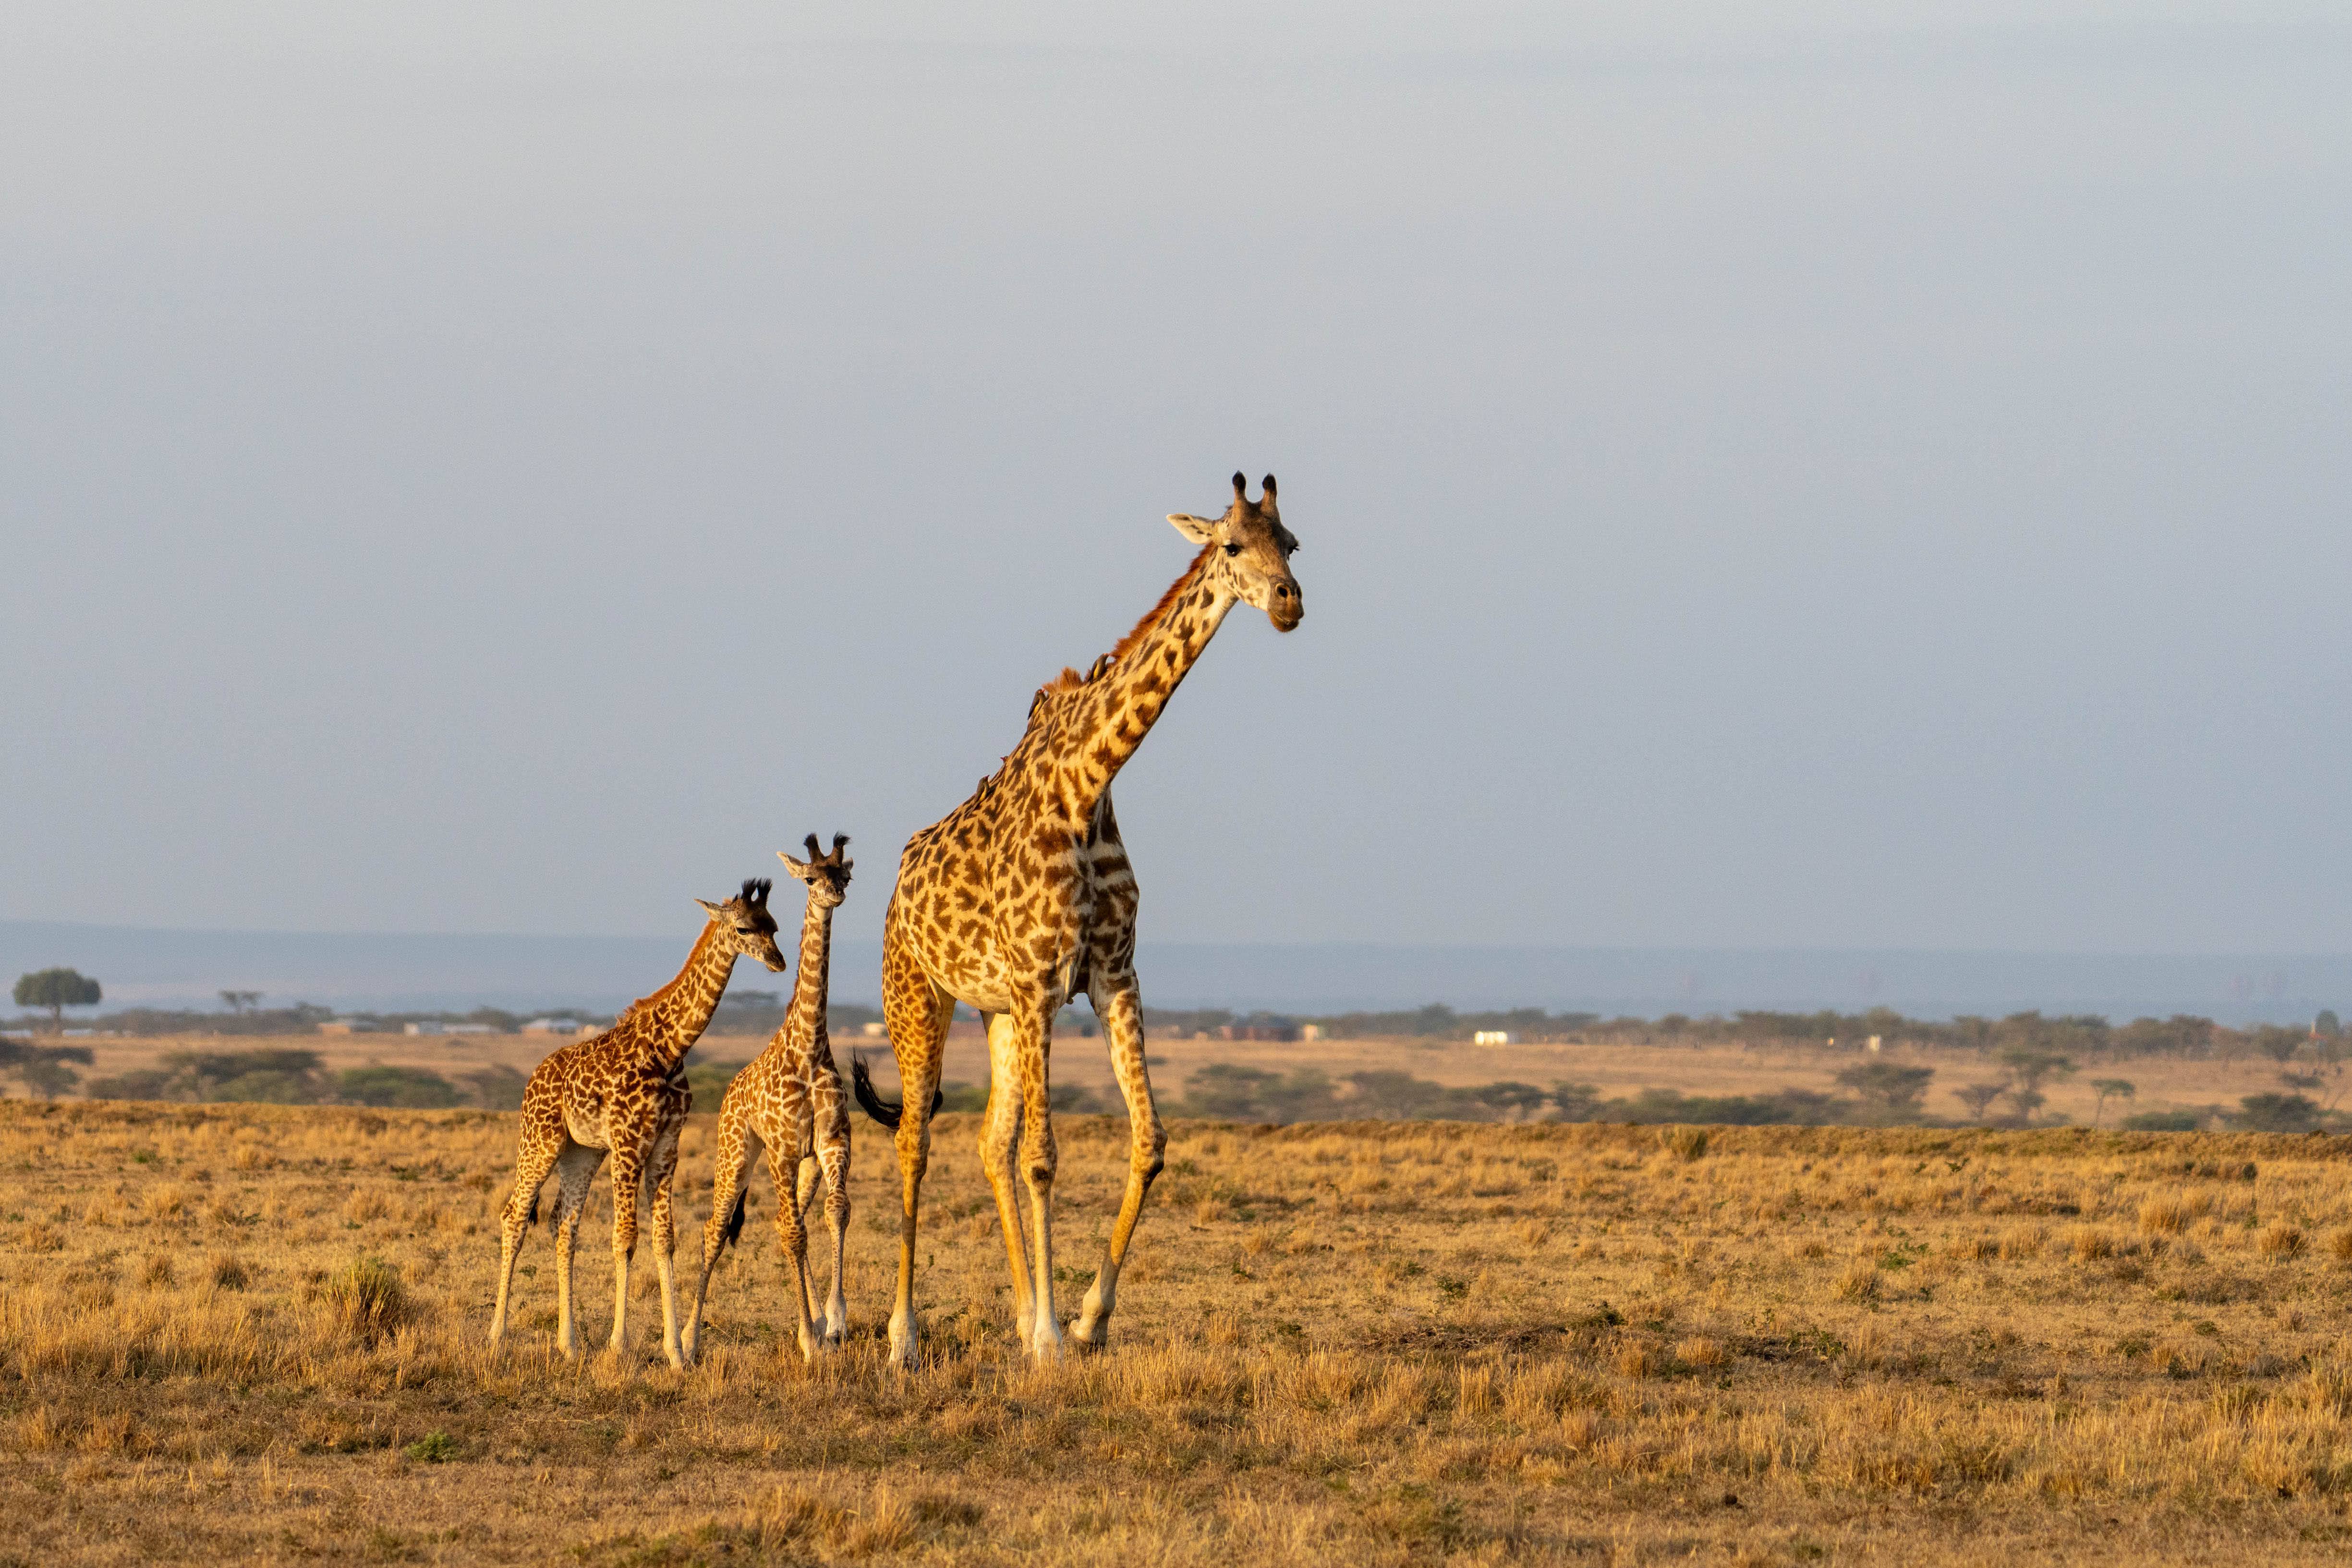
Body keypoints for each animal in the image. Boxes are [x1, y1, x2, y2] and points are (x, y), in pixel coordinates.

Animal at [487, 878, 788, 1368]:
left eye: (775, 926)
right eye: (744, 928)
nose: (778, 961)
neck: (669, 1048)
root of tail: (533, 1077)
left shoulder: (666, 1144)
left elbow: (664, 1239)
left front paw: (676, 1353)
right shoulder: (628, 1143)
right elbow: (625, 1238)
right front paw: (619, 1343)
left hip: (582, 1152)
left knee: (563, 1224)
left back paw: (569, 1344)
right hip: (540, 1141)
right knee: (515, 1216)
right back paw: (497, 1335)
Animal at [681, 834, 857, 1365]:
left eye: (845, 874)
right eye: (810, 877)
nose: (835, 894)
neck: (809, 1046)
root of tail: (728, 1093)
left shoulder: (832, 1143)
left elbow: (836, 1212)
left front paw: (834, 1322)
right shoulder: (781, 1149)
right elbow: (792, 1233)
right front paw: (808, 1340)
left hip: (803, 1165)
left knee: (793, 1215)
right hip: (737, 1151)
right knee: (717, 1229)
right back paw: (687, 1342)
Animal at [856, 471, 1303, 1366]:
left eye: (1294, 544)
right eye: (1232, 544)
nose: (1288, 602)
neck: (1089, 785)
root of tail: (896, 887)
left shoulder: (1110, 978)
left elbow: (1148, 1140)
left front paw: (1084, 1320)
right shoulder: (1039, 983)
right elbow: (1044, 1158)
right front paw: (1055, 1338)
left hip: (993, 1011)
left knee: (987, 1142)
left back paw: (1021, 1315)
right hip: (920, 998)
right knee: (916, 1140)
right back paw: (903, 1337)